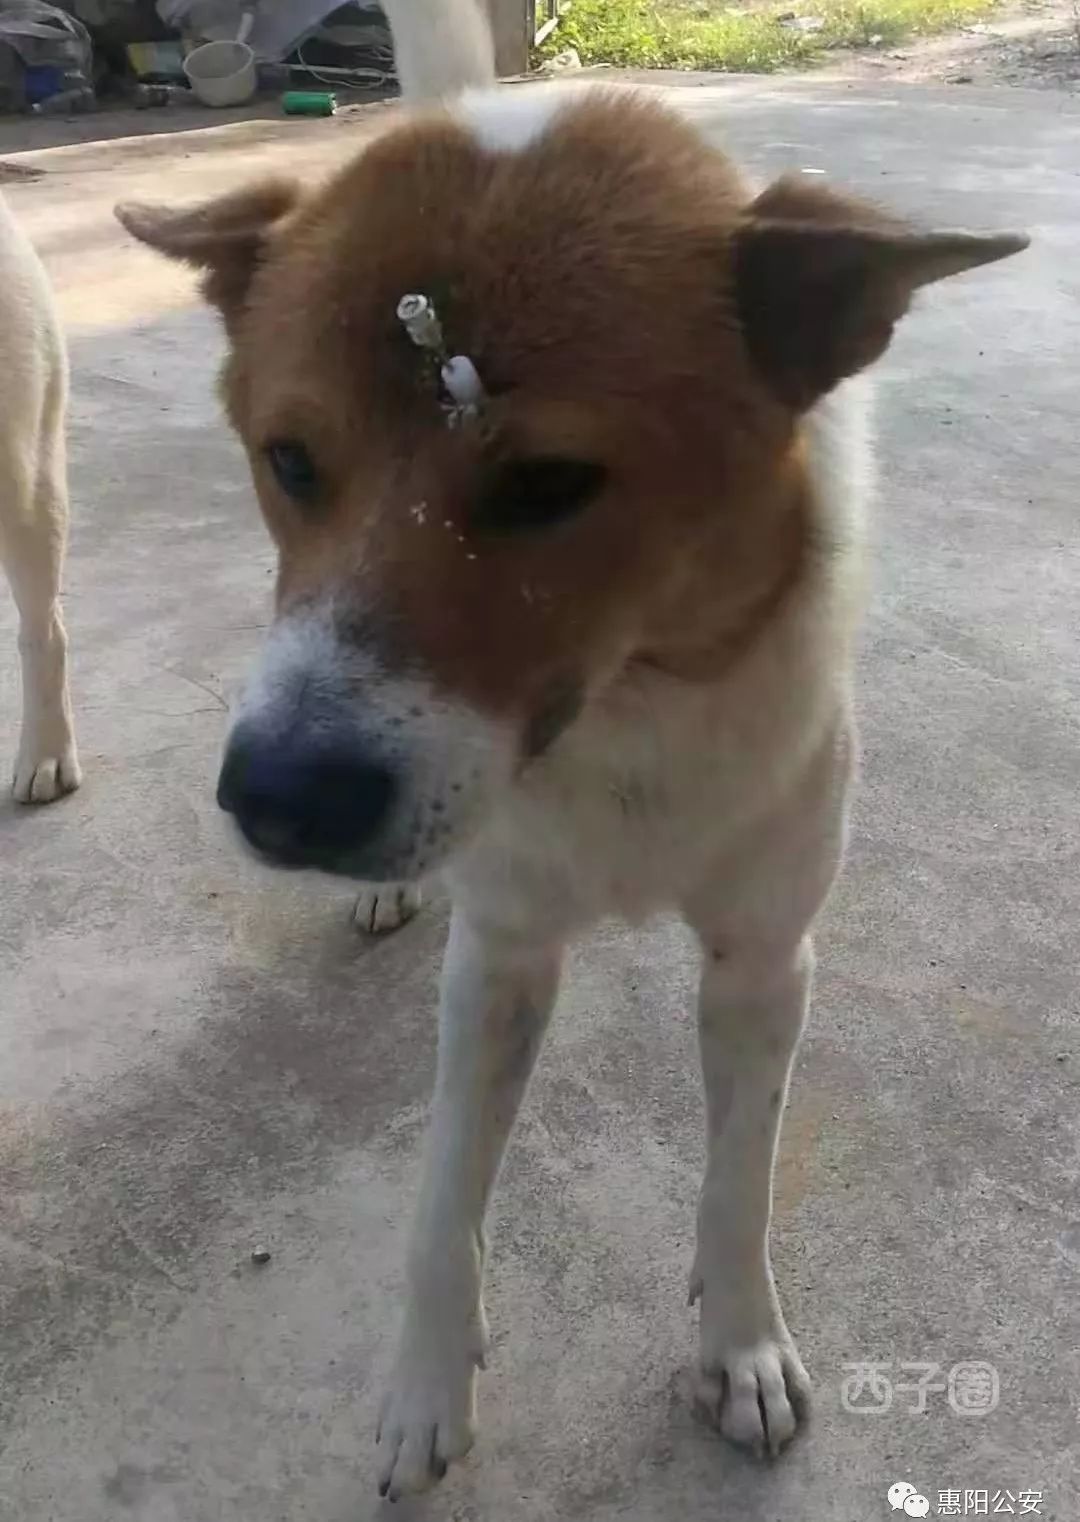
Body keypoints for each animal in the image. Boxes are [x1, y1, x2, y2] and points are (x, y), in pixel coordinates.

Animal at [114, 0, 1028, 1497]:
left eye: (548, 484)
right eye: (290, 462)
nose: (279, 801)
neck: (627, 703)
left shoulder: (767, 957)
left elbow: (738, 1179)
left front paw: (741, 1349)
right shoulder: (499, 954)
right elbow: (444, 1193)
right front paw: (425, 1388)